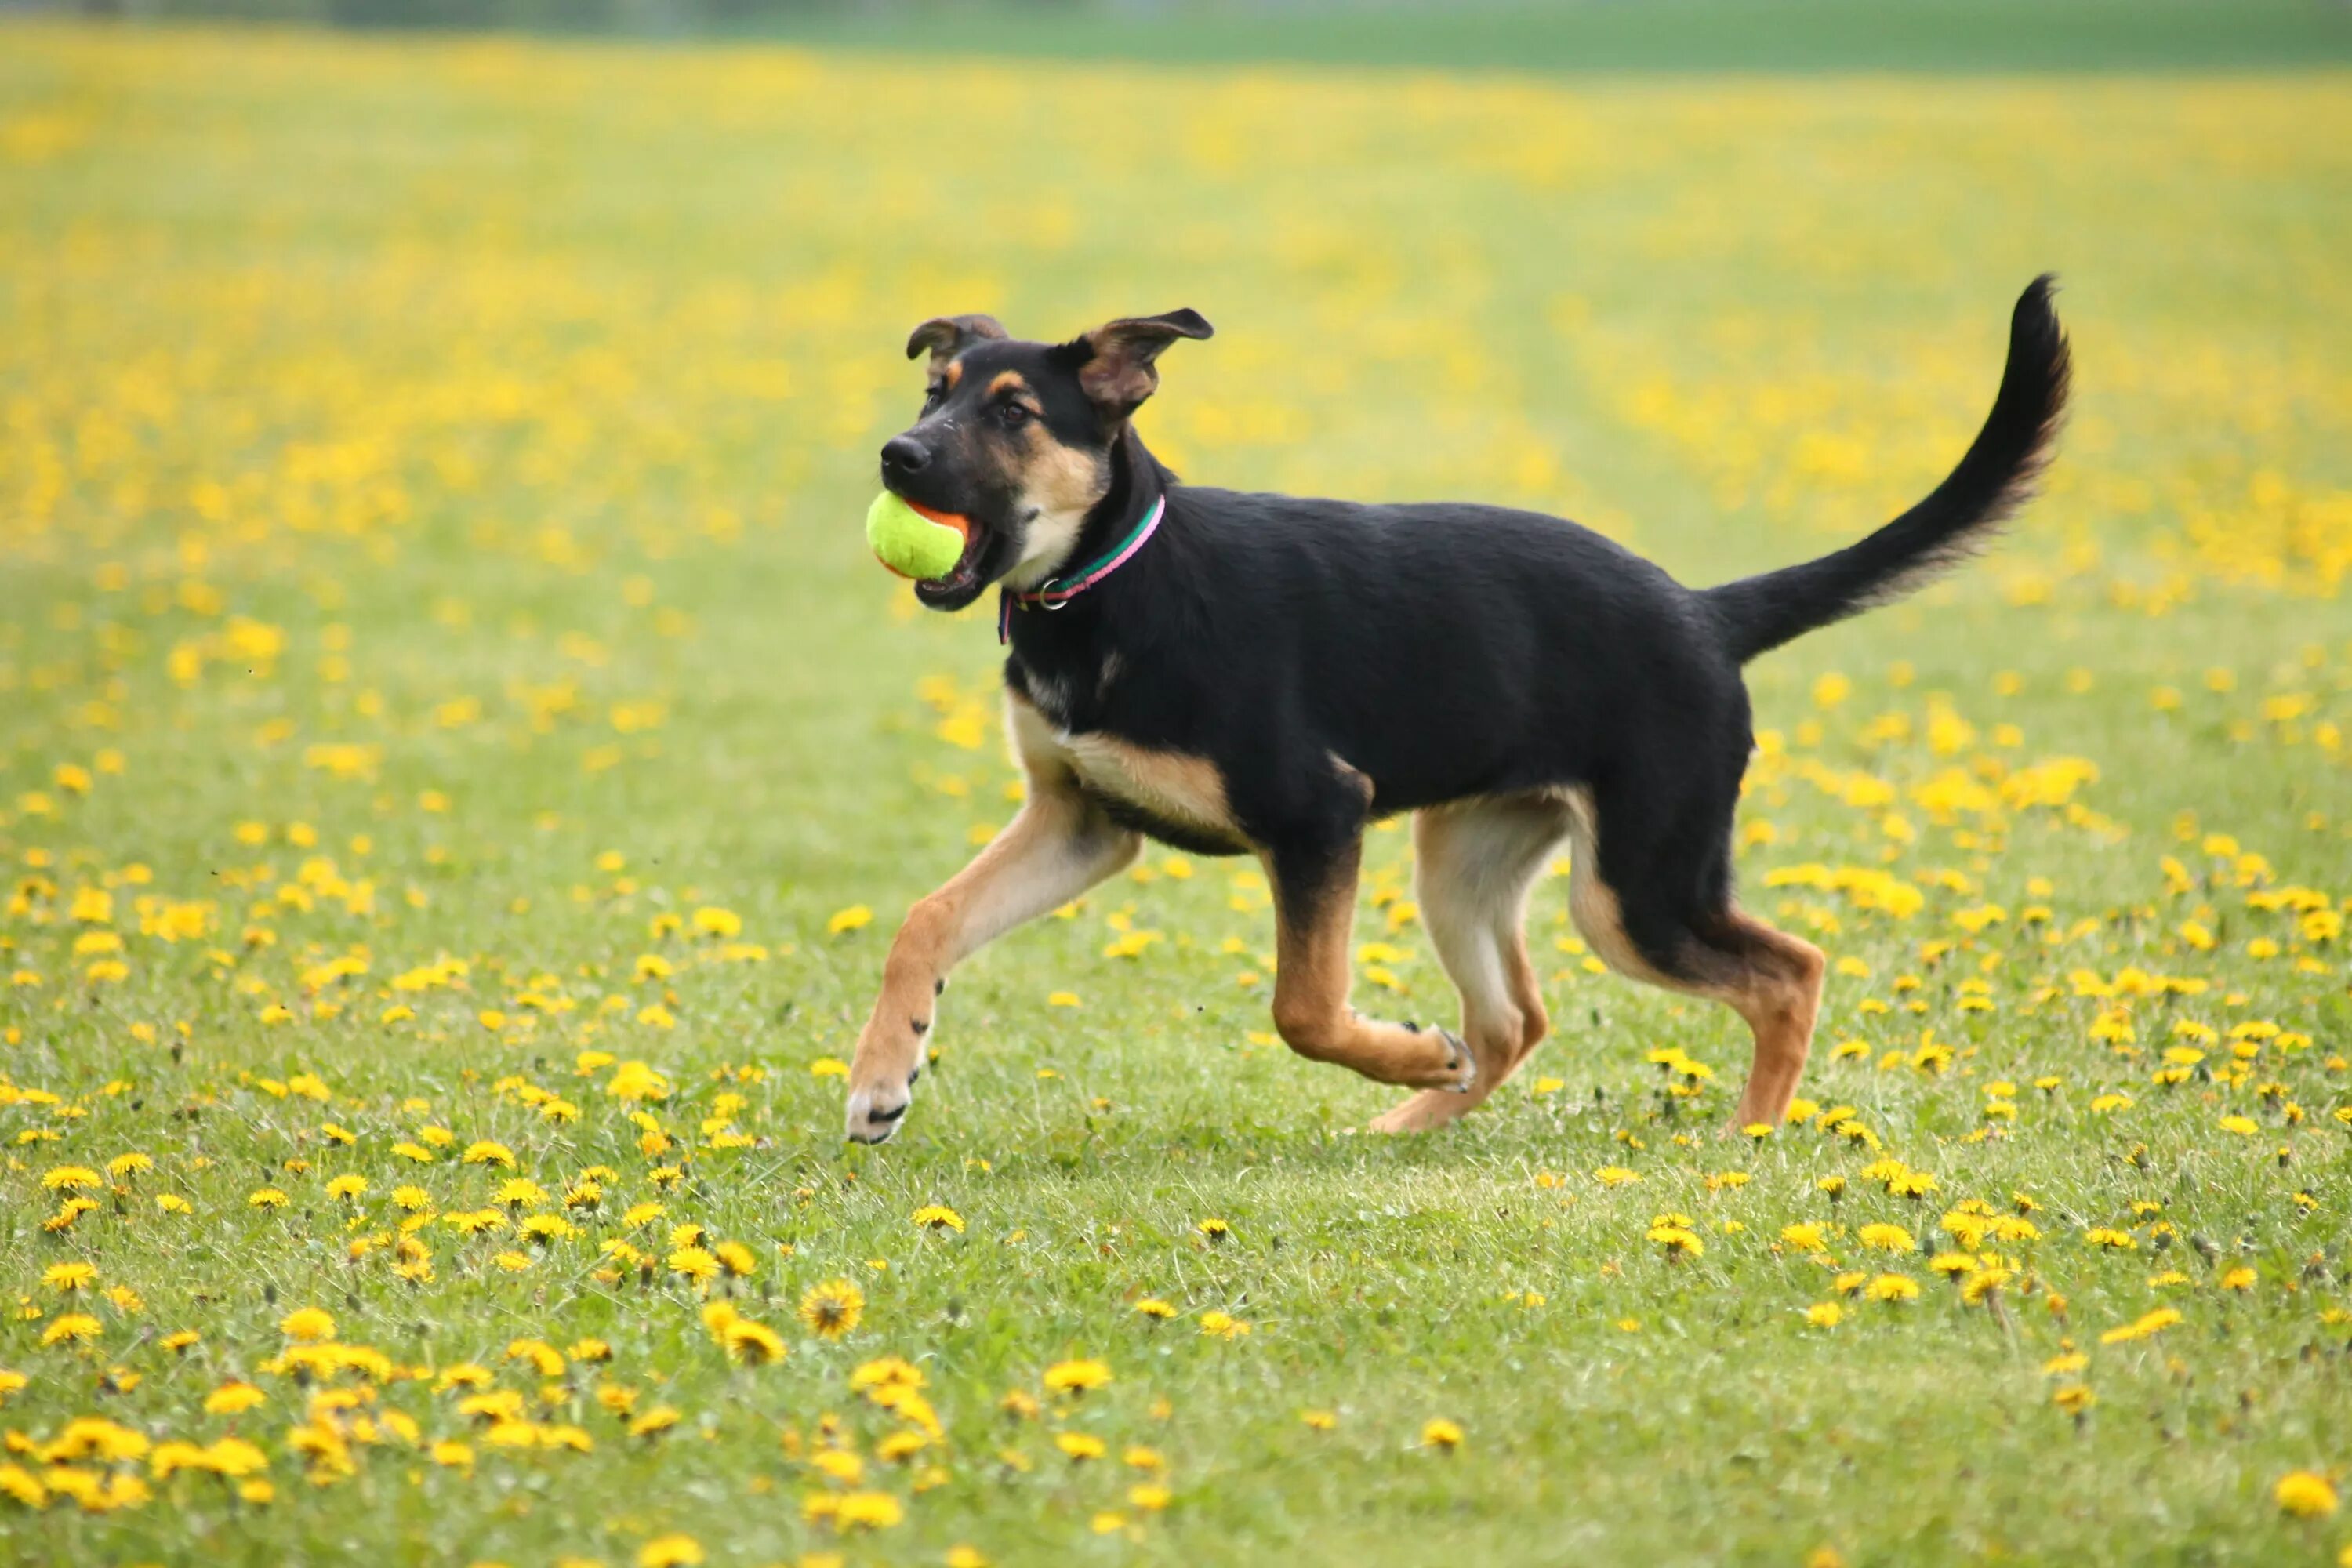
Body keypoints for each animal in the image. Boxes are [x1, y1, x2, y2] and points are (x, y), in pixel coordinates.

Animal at [847, 278, 2079, 1142]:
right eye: (934, 395)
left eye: (1013, 413)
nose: (896, 454)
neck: (1109, 580)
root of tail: (1704, 612)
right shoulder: (1081, 821)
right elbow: (927, 919)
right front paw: (881, 1077)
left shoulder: (1317, 814)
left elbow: (1303, 1007)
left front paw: (1404, 1046)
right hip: (1467, 858)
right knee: (1514, 1020)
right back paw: (1414, 1116)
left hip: (1634, 889)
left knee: (1791, 970)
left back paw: (1747, 1136)